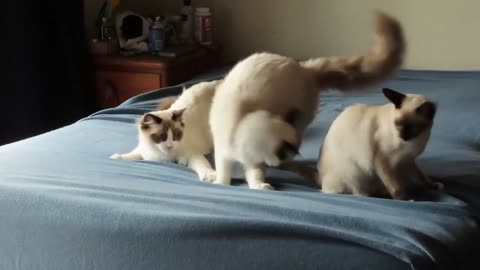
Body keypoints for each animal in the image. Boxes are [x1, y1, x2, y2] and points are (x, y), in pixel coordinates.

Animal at [209, 12, 404, 190]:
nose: (284, 160)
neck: (242, 123)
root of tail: (304, 67)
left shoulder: (254, 161)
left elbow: (254, 176)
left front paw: (261, 185)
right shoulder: (223, 153)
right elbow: (224, 173)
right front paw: (221, 183)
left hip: (302, 121)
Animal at [316, 87, 444, 199]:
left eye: (413, 127)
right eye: (397, 125)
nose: (403, 137)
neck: (415, 142)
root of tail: (321, 183)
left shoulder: (407, 159)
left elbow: (421, 176)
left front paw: (433, 185)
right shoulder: (383, 161)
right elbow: (396, 187)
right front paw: (406, 199)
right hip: (354, 173)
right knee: (359, 193)